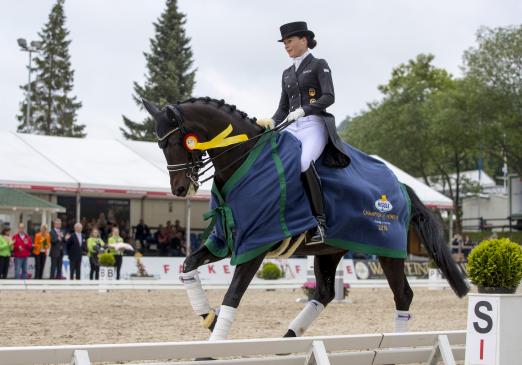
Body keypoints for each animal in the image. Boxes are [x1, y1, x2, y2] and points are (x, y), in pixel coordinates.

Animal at [142, 95, 468, 340]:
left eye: (177, 142)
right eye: (160, 145)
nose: (180, 189)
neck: (245, 162)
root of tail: (399, 185)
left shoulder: (255, 246)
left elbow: (232, 296)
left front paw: (212, 344)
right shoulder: (228, 240)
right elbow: (187, 266)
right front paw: (209, 317)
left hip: (389, 252)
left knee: (403, 295)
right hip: (330, 250)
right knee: (324, 292)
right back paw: (288, 340)